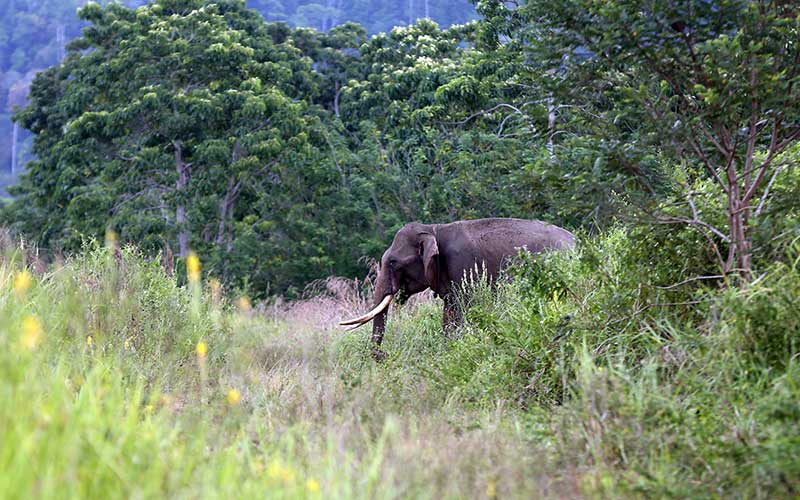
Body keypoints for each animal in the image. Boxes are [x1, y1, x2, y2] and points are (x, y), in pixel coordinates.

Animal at [340, 217, 576, 358]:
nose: (384, 355)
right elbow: (449, 316)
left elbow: (464, 313)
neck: (434, 228)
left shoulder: (462, 267)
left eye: (392, 262)